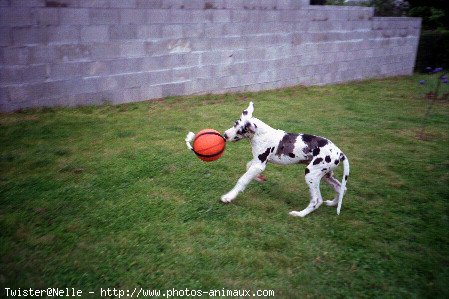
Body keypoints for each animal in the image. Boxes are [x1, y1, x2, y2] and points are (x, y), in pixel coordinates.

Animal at [187, 102, 348, 217]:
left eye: (241, 130)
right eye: (235, 123)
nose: (225, 135)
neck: (260, 134)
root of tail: (340, 153)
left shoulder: (259, 164)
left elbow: (242, 180)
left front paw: (229, 197)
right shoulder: (257, 162)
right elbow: (247, 167)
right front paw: (259, 178)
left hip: (312, 174)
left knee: (316, 200)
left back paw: (299, 214)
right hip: (326, 175)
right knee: (341, 187)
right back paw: (333, 203)